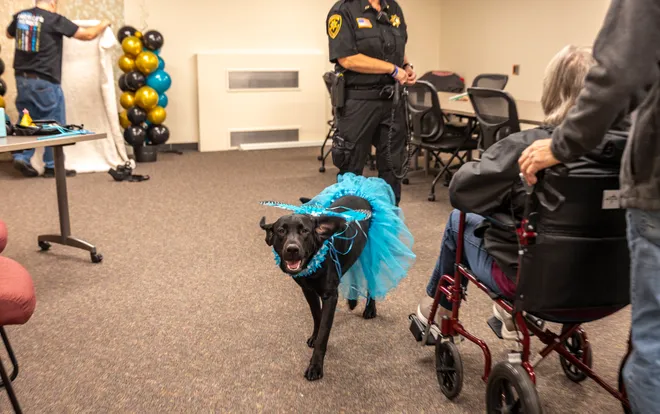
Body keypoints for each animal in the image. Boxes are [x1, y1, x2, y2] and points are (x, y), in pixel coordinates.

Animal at [260, 196, 374, 380]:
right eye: (281, 231)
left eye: (305, 231)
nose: (292, 249)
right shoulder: (308, 291)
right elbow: (317, 317)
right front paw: (315, 336)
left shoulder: (330, 296)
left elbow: (324, 333)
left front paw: (315, 366)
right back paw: (352, 302)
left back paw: (370, 309)